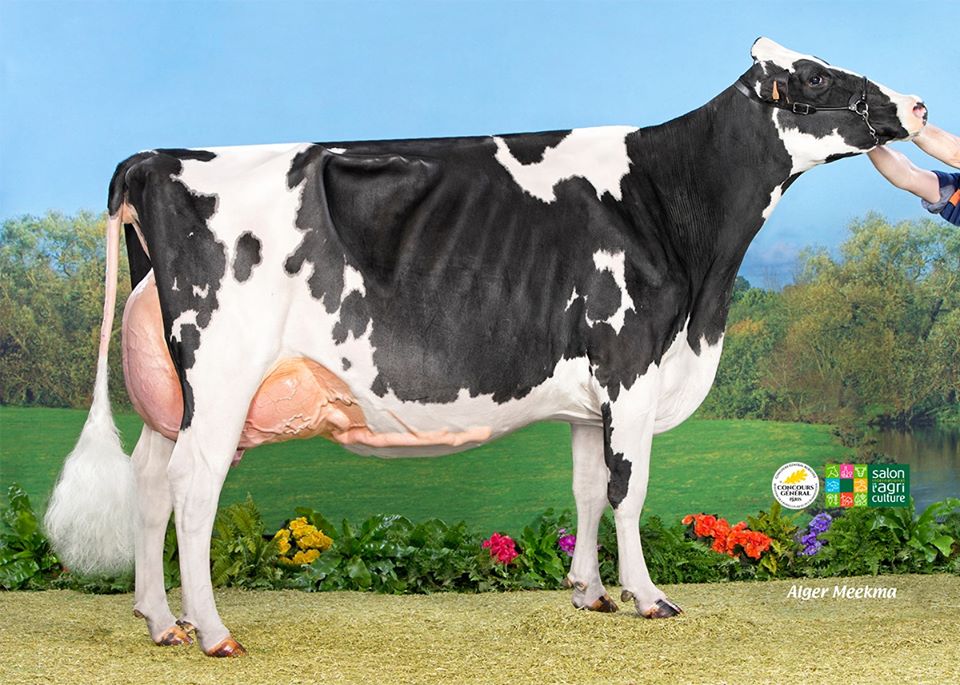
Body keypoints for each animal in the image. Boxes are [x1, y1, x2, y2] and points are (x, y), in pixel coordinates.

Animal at [45, 38, 927, 656]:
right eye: (814, 78)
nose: (917, 104)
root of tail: (156, 159)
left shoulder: (589, 396)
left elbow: (585, 490)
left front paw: (588, 592)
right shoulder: (631, 365)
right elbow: (629, 492)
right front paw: (649, 596)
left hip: (171, 391)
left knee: (149, 482)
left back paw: (160, 619)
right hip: (223, 373)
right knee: (192, 490)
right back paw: (214, 630)